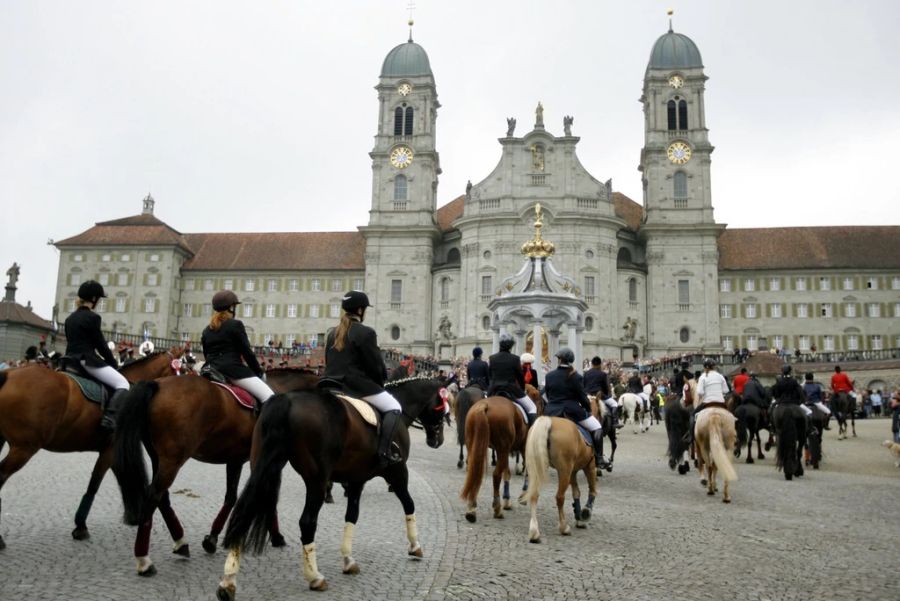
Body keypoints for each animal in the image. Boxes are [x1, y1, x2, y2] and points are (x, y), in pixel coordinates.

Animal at [0, 346, 184, 548]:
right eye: (179, 369)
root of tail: (9, 373)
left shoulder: (112, 452)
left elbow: (121, 479)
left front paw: (134, 516)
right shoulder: (109, 452)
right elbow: (95, 484)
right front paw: (81, 526)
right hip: (24, 448)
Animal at [111, 368, 320, 576]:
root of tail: (158, 384)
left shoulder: (236, 459)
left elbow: (232, 496)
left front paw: (212, 538)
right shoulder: (266, 460)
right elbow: (266, 496)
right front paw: (277, 537)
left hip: (158, 458)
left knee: (161, 497)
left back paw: (181, 543)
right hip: (172, 460)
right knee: (153, 496)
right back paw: (144, 561)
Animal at [214, 376, 446, 596]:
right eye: (442, 408)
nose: (438, 441)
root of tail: (286, 400)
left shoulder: (356, 479)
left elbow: (352, 515)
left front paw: (348, 560)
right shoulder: (398, 472)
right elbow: (409, 504)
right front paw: (415, 546)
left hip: (263, 466)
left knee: (244, 512)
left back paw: (228, 581)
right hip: (316, 480)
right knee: (307, 522)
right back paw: (315, 577)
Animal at [458, 384, 540, 520]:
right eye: (540, 400)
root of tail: (484, 405)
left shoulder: (504, 451)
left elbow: (507, 473)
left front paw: (507, 500)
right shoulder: (522, 448)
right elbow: (526, 471)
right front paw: (524, 494)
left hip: (474, 446)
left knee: (474, 472)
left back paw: (471, 508)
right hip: (502, 448)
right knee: (496, 475)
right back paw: (496, 508)